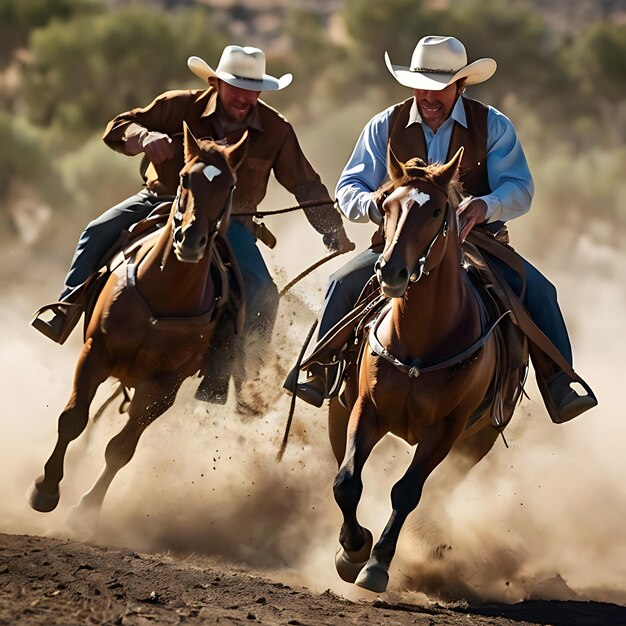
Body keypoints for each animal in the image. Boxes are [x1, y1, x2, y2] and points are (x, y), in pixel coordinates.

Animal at [28, 123, 246, 516]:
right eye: (185, 177)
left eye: (230, 186)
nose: (190, 239)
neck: (163, 294)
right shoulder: (95, 351)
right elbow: (72, 420)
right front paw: (46, 489)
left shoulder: (164, 385)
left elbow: (121, 448)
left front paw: (88, 507)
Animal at [330, 146, 524, 588]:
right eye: (386, 205)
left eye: (436, 211)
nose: (390, 270)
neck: (420, 340)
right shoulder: (366, 409)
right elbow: (347, 482)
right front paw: (352, 549)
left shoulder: (447, 429)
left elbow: (407, 491)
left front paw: (377, 563)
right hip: (339, 409)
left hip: (477, 440)